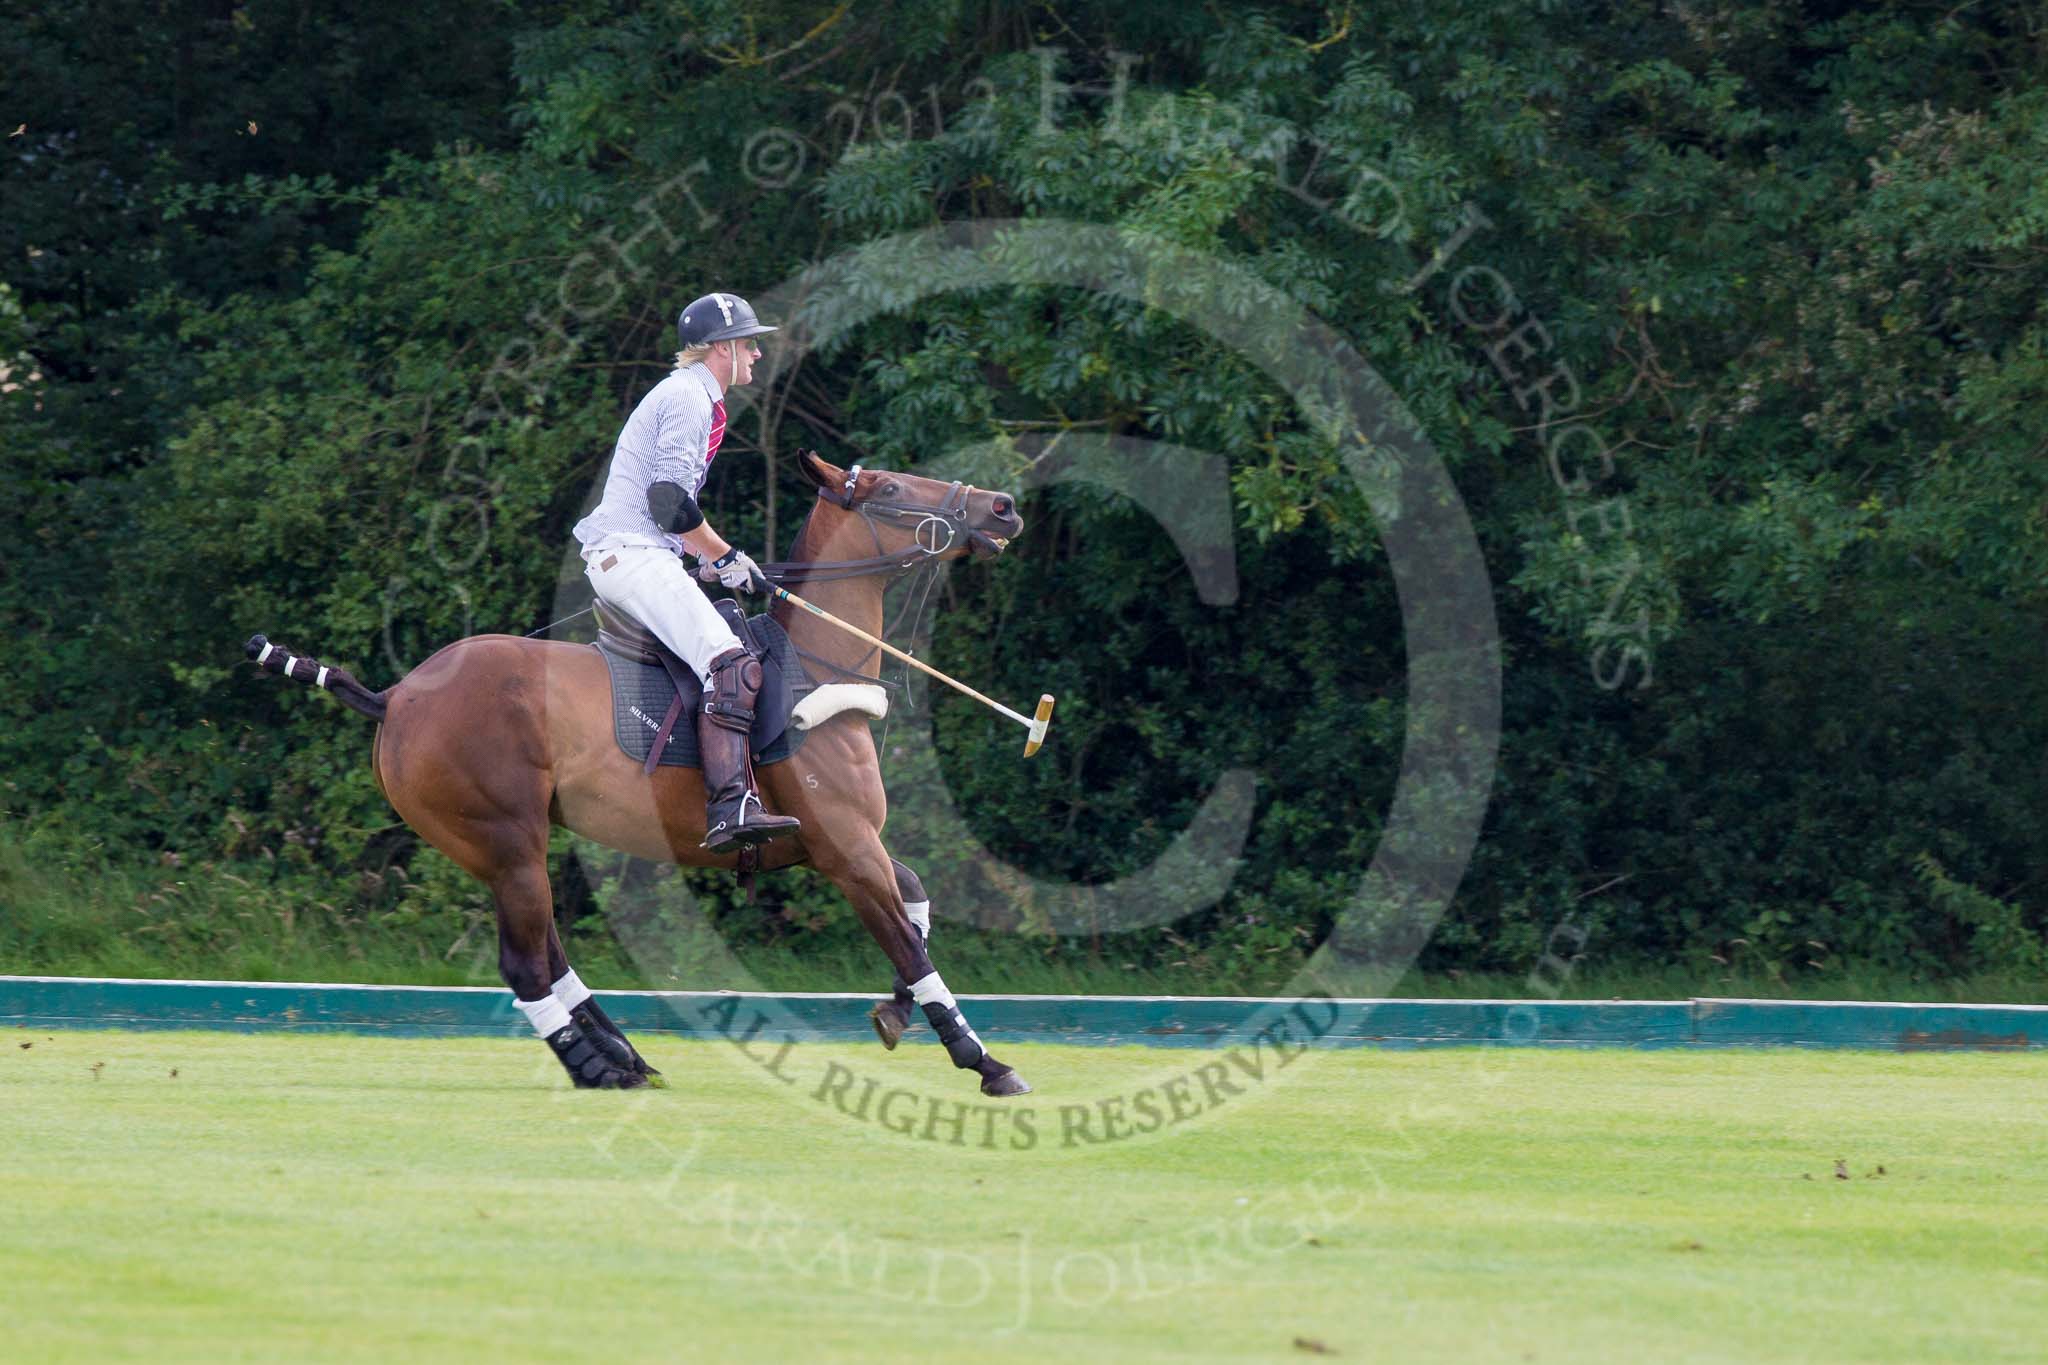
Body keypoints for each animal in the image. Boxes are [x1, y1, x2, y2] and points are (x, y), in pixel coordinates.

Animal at [247, 456, 1032, 1096]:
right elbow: (906, 938)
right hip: (503, 837)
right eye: (891, 487)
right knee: (526, 962)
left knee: (549, 953)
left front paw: (895, 1013)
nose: (1002, 507)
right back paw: (597, 1067)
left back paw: (624, 1055)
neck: (815, 668)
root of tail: (396, 697)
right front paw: (984, 1060)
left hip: (501, 848)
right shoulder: (846, 847)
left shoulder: (836, 842)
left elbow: (916, 901)